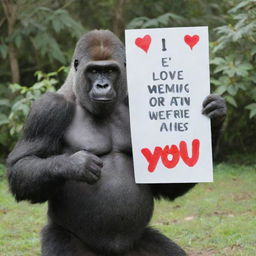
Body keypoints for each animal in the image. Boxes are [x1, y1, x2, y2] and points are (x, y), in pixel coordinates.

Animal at [6, 30, 226, 256]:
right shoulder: (48, 109)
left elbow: (164, 186)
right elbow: (21, 165)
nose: (102, 85)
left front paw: (216, 117)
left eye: (110, 70)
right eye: (94, 70)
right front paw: (76, 164)